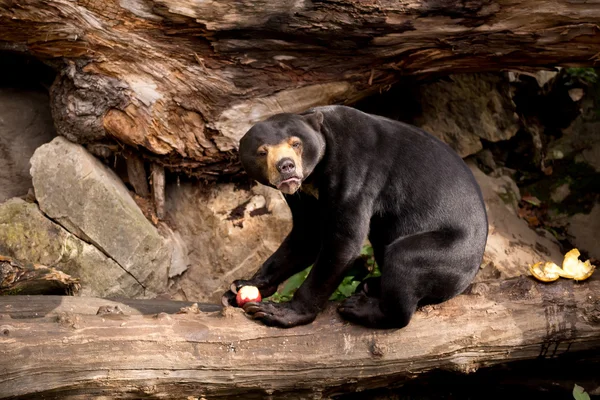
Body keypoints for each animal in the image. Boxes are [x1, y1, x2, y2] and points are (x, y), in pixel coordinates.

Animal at [220, 105, 488, 328]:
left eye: (296, 143)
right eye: (262, 152)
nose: (286, 166)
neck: (315, 177)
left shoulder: (355, 173)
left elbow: (343, 241)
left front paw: (280, 312)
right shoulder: (302, 195)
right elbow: (306, 236)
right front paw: (243, 285)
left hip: (452, 251)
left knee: (406, 259)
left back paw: (360, 307)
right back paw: (372, 285)